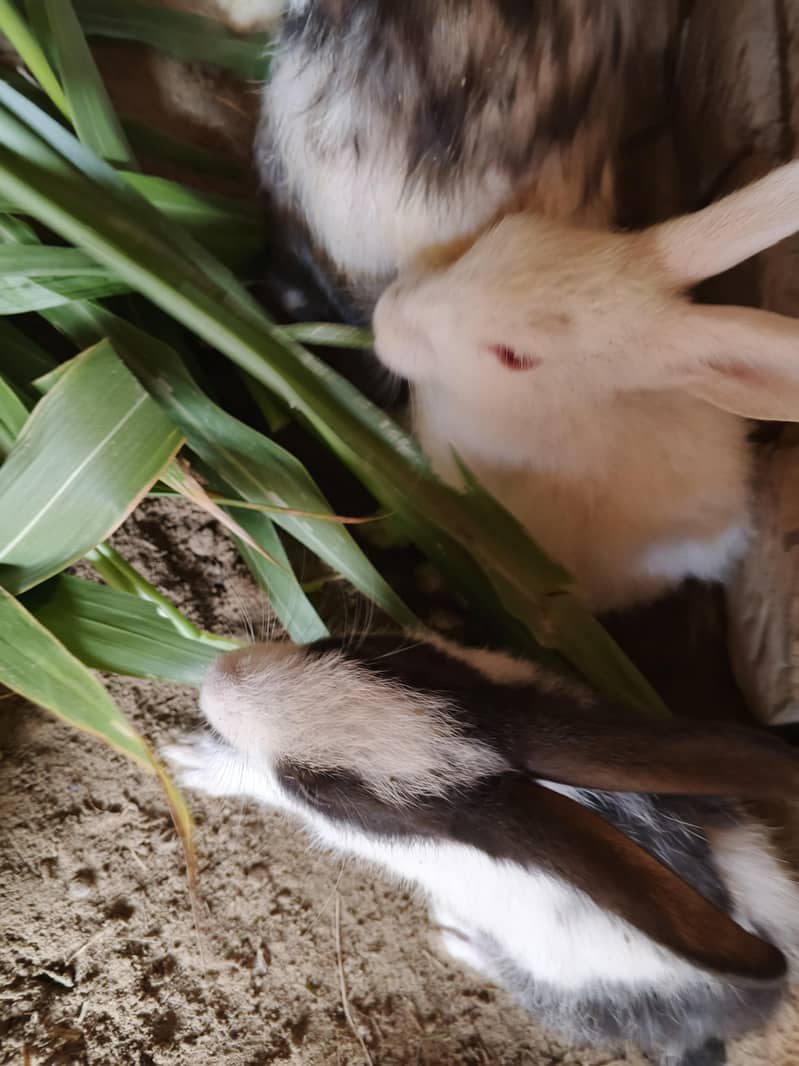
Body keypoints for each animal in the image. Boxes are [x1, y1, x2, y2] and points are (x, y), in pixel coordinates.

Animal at [164, 632, 799, 1066]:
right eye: (372, 651)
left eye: (320, 790)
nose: (218, 677)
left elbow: (251, 777)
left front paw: (189, 760)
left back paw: (457, 937)